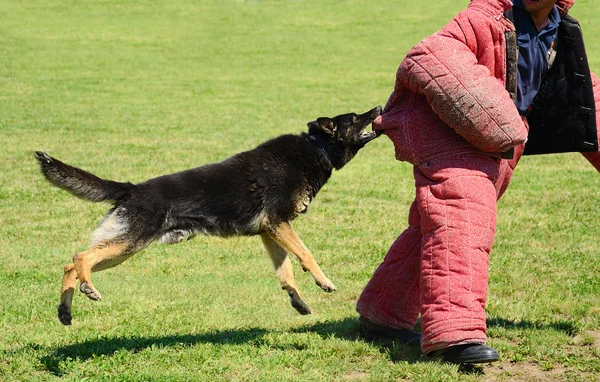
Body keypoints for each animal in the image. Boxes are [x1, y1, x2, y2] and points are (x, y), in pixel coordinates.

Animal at [35, 105, 382, 326]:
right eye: (354, 117)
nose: (379, 106)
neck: (316, 148)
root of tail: (132, 189)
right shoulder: (279, 223)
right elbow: (306, 255)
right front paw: (324, 282)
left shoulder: (270, 231)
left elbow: (285, 271)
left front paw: (297, 300)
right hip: (129, 243)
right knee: (80, 257)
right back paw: (88, 287)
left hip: (123, 250)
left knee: (70, 264)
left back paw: (65, 311)